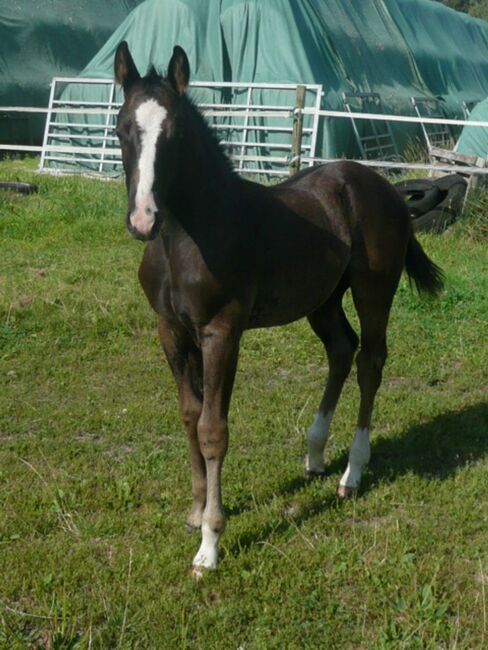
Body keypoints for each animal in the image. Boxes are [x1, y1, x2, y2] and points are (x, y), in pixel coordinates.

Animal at [113, 41, 442, 572]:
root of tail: (387, 189)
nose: (144, 219)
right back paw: (314, 454)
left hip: (373, 290)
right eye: (122, 128)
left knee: (370, 361)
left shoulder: (222, 331)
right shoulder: (171, 331)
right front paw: (195, 510)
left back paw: (351, 474)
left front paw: (210, 543)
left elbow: (213, 428)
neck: (188, 235)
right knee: (342, 350)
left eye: (175, 134)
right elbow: (188, 414)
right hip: (323, 300)